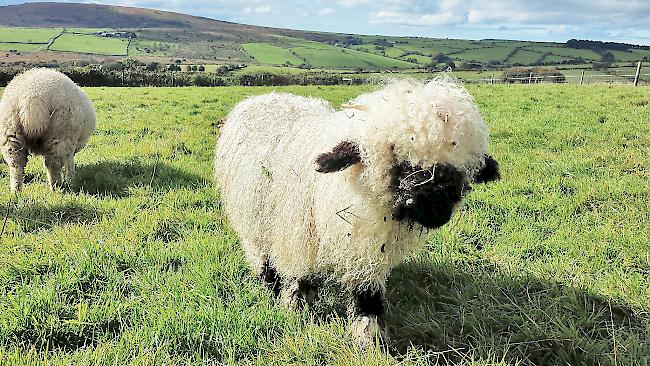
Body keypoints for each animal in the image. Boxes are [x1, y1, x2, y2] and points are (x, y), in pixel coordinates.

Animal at [215, 78, 498, 348]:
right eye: (395, 153)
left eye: (462, 166)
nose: (435, 208)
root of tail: (265, 95)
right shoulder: (300, 238)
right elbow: (298, 276)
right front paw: (293, 306)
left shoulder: (367, 247)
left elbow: (366, 294)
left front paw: (369, 337)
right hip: (252, 219)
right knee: (259, 253)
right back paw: (270, 283)